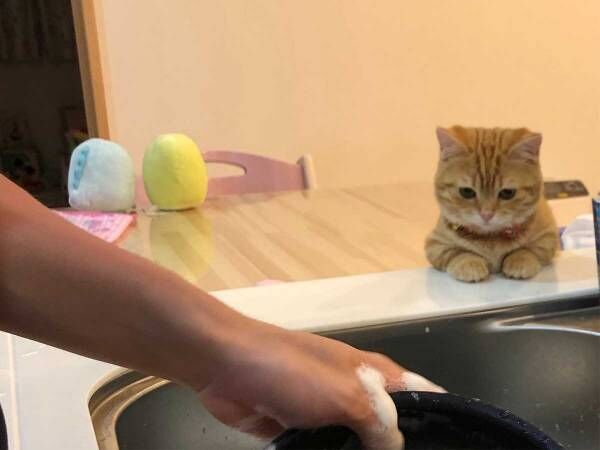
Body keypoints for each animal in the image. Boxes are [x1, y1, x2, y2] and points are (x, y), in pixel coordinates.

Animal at [425, 126, 558, 282]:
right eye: (466, 192)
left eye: (507, 193)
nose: (486, 214)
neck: (490, 238)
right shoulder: (435, 244)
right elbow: (457, 252)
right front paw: (469, 263)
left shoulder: (549, 237)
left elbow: (528, 249)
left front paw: (520, 260)